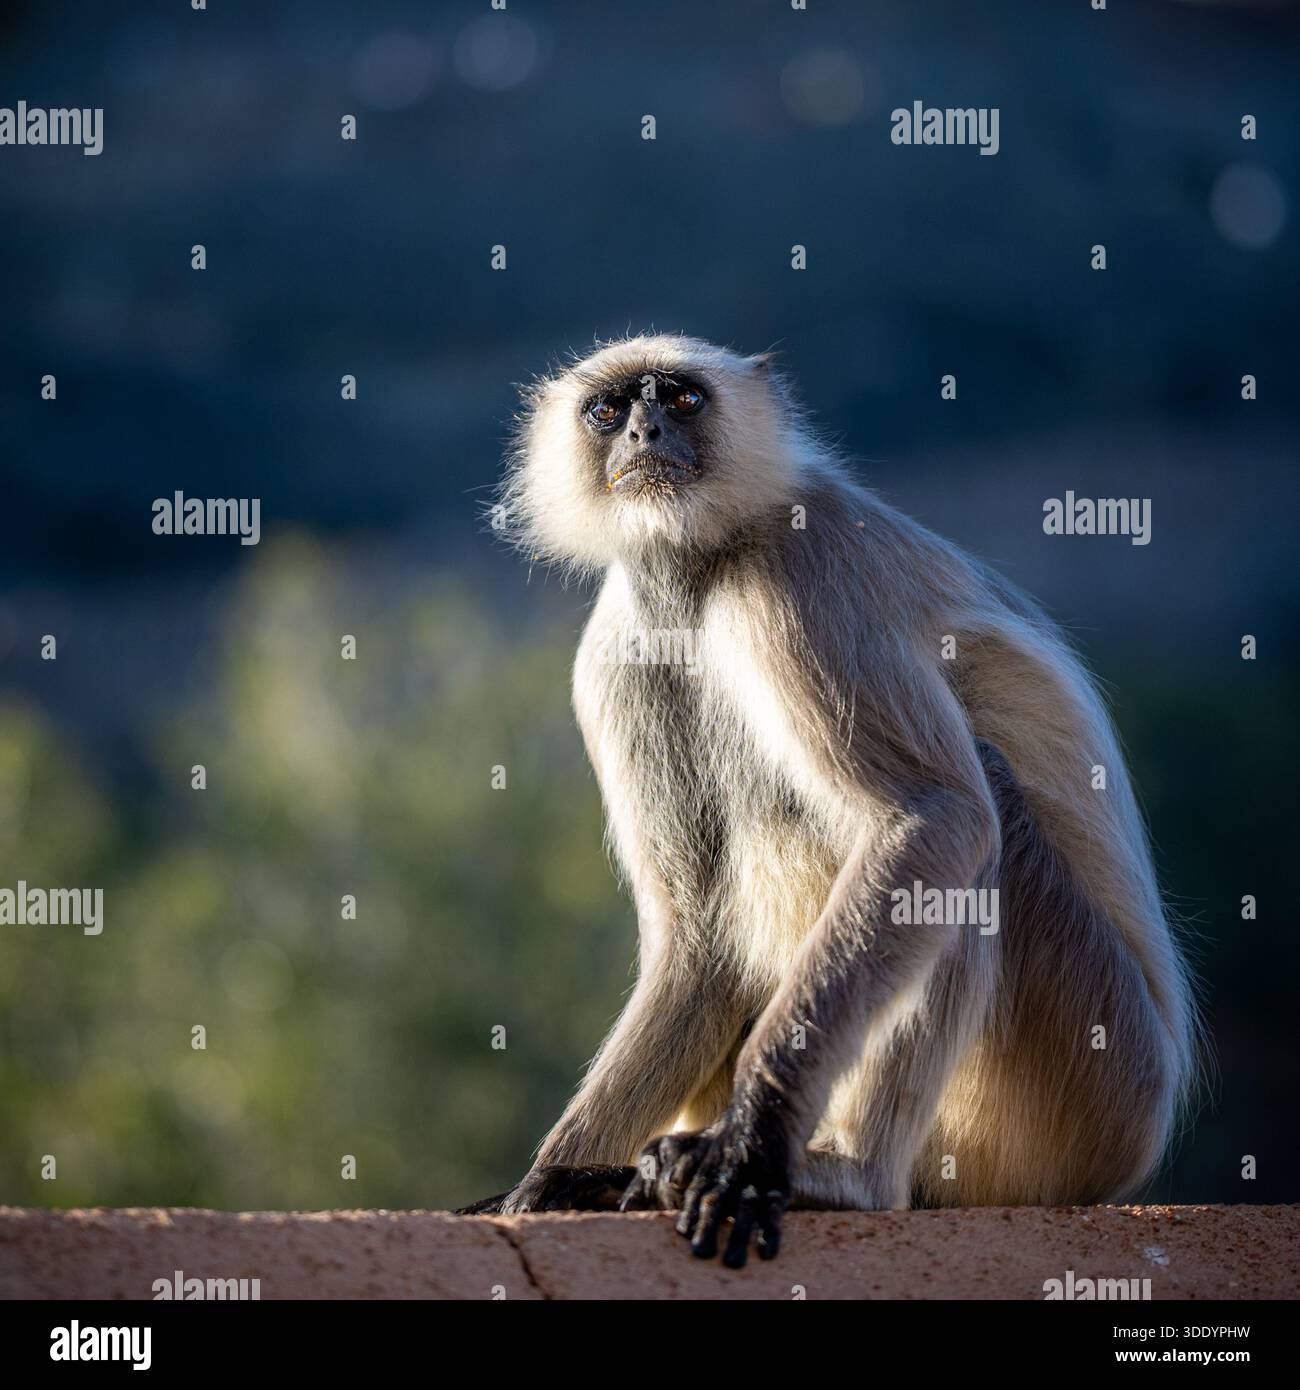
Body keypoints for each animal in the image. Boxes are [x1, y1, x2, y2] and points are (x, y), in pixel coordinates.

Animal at [459, 334, 1198, 1269]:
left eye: (682, 399)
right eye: (608, 409)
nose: (644, 431)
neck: (701, 569)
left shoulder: (798, 569)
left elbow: (932, 820)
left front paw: (750, 1145)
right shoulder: (615, 652)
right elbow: (696, 938)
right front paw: (548, 1182)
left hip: (1096, 1077)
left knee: (971, 822)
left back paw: (846, 1177)